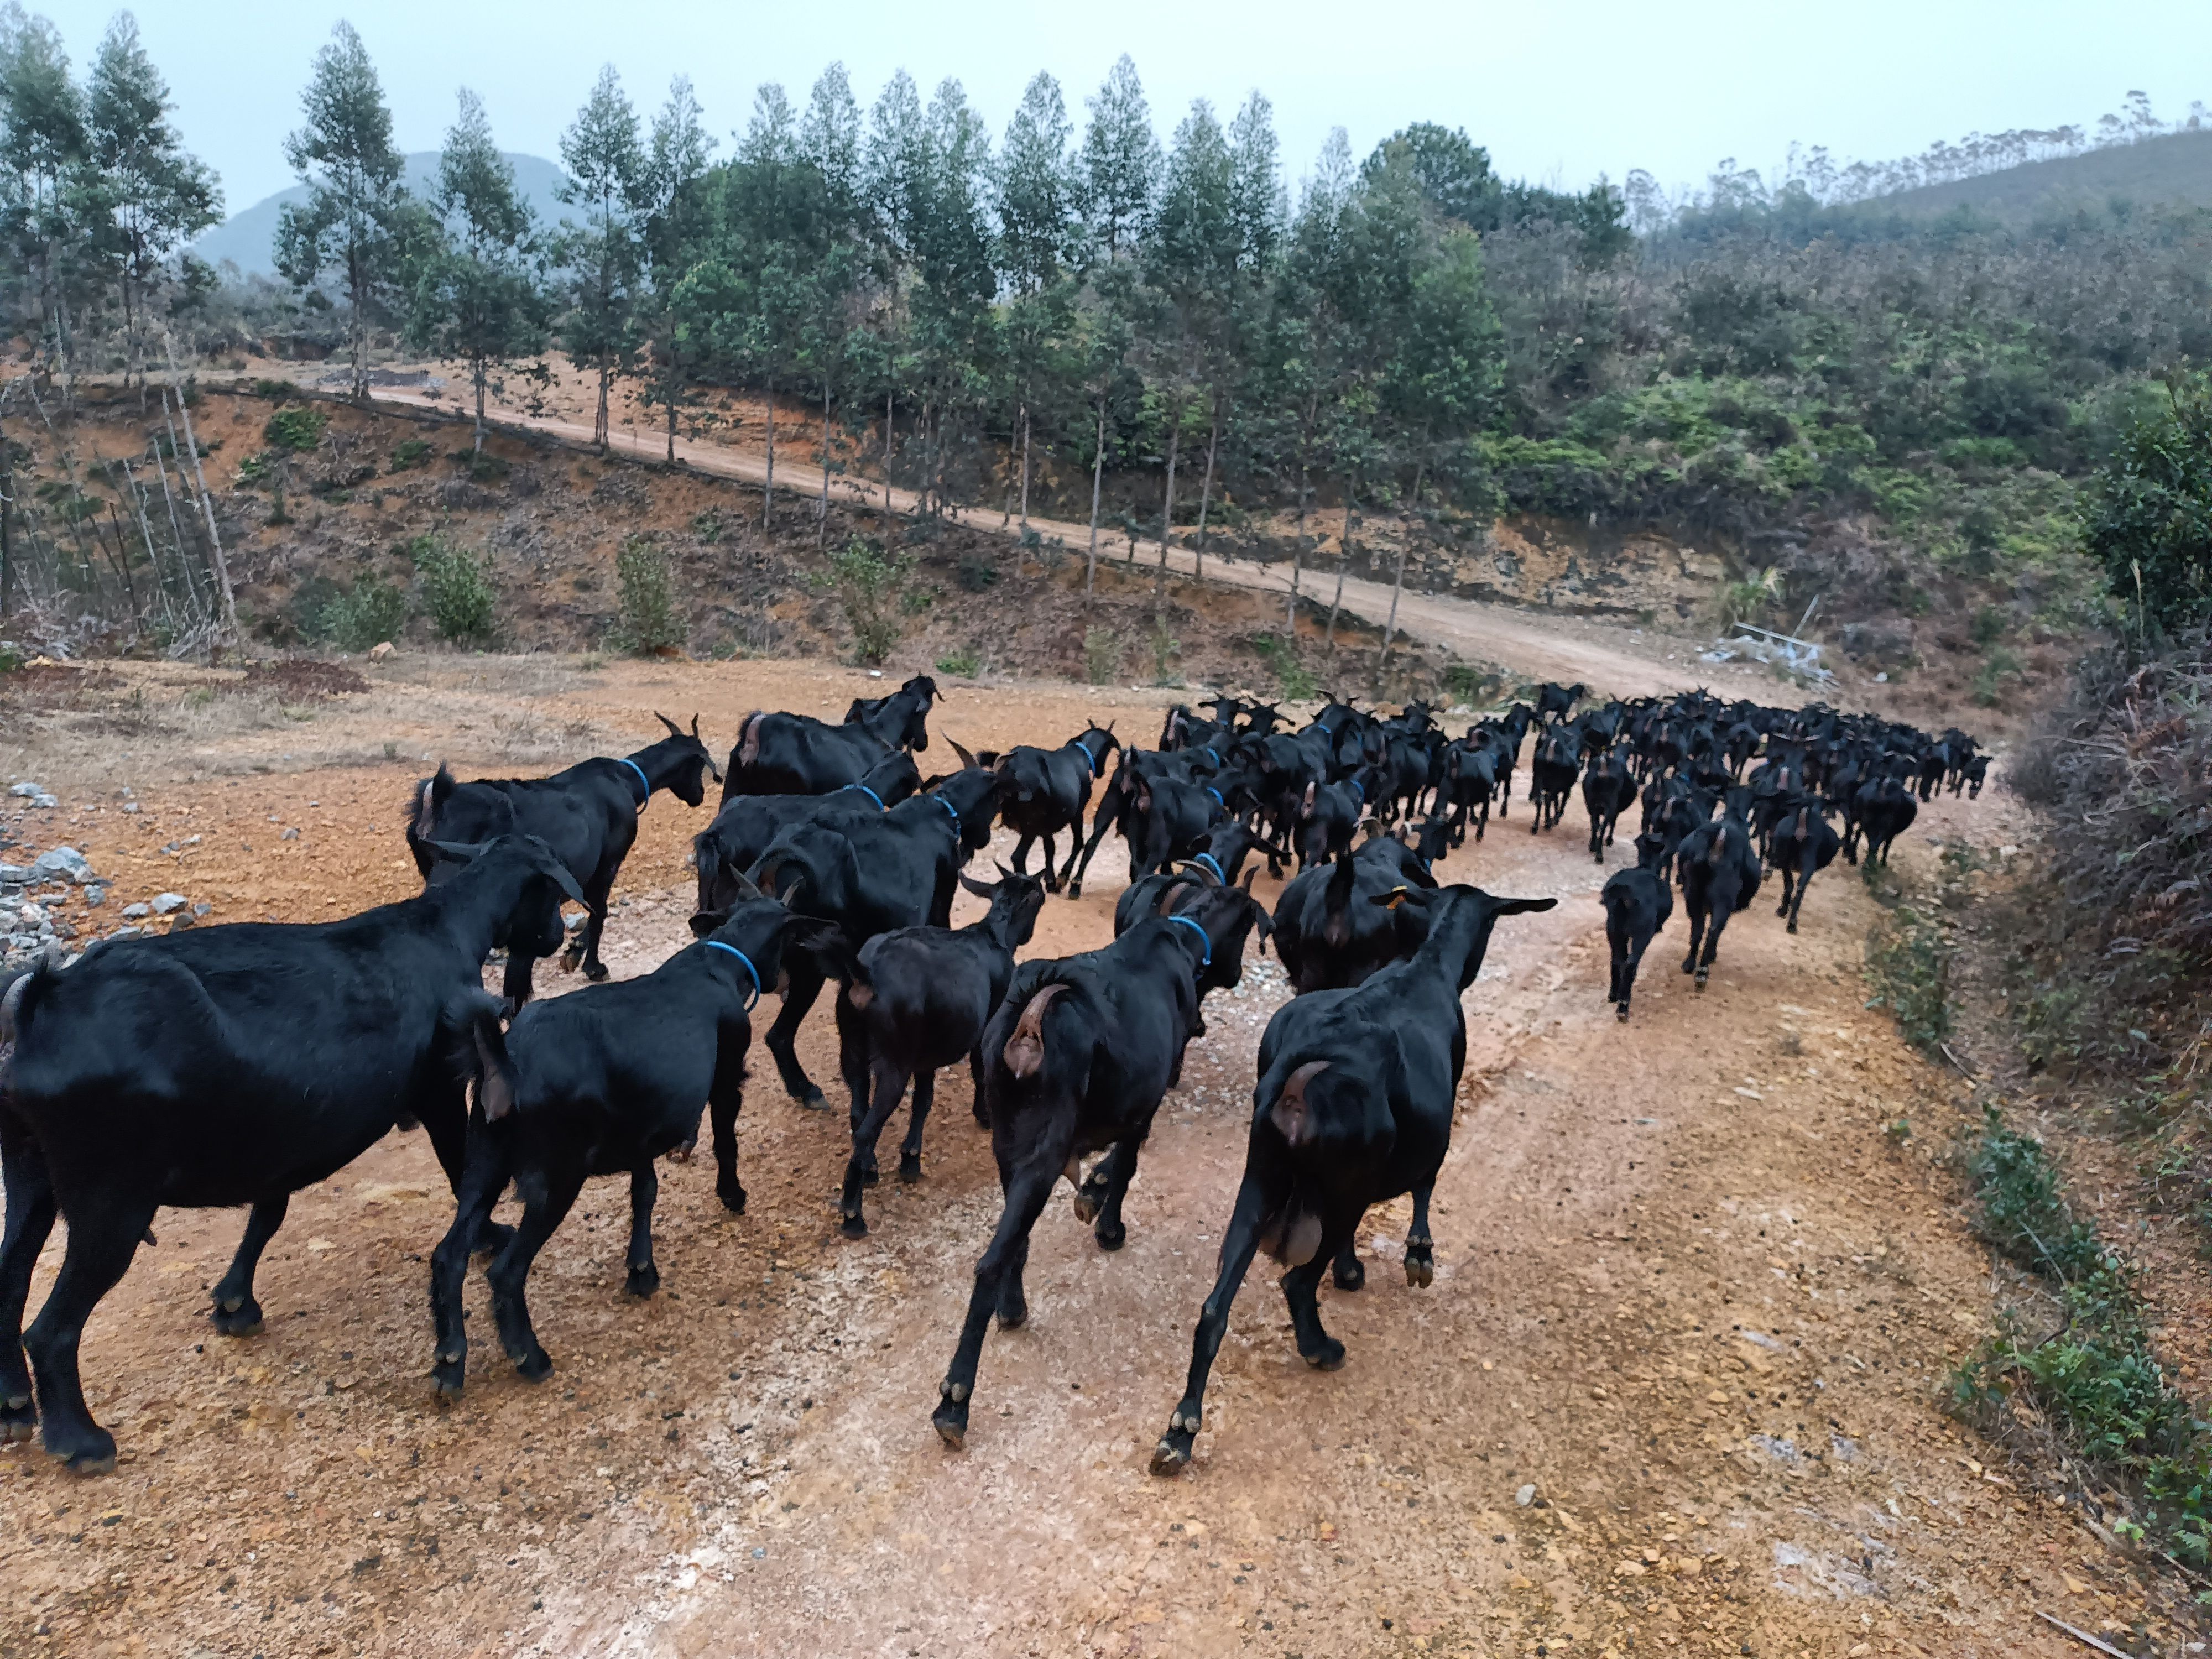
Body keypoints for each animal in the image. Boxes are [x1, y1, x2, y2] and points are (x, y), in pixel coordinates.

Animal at [0, 836, 584, 1478]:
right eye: (553, 895)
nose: (557, 937)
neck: (444, 928)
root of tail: (41, 1007)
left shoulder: (285, 1130)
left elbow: (270, 1209)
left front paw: (234, 1301)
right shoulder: (439, 1089)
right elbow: (459, 1171)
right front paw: (489, 1234)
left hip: (27, 1173)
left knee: (11, 1275)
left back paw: (14, 1405)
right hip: (111, 1197)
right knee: (51, 1329)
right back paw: (80, 1441)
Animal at [832, 872, 1048, 1239]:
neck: (993, 934)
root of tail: (866, 974)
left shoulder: (926, 1053)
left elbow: (924, 1098)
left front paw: (910, 1158)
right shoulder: (986, 1023)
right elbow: (979, 1070)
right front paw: (984, 1115)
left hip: (853, 1052)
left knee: (858, 1114)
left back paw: (870, 1168)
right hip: (894, 1062)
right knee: (866, 1128)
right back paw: (853, 1215)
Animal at [1159, 885, 1557, 1478]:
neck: (1426, 969)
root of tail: (1301, 1081)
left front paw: (1351, 1270)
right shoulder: (1433, 1131)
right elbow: (1426, 1185)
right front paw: (1418, 1255)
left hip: (1261, 1179)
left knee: (1214, 1309)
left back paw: (1181, 1430)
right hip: (1343, 1186)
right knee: (1298, 1282)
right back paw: (1321, 1349)